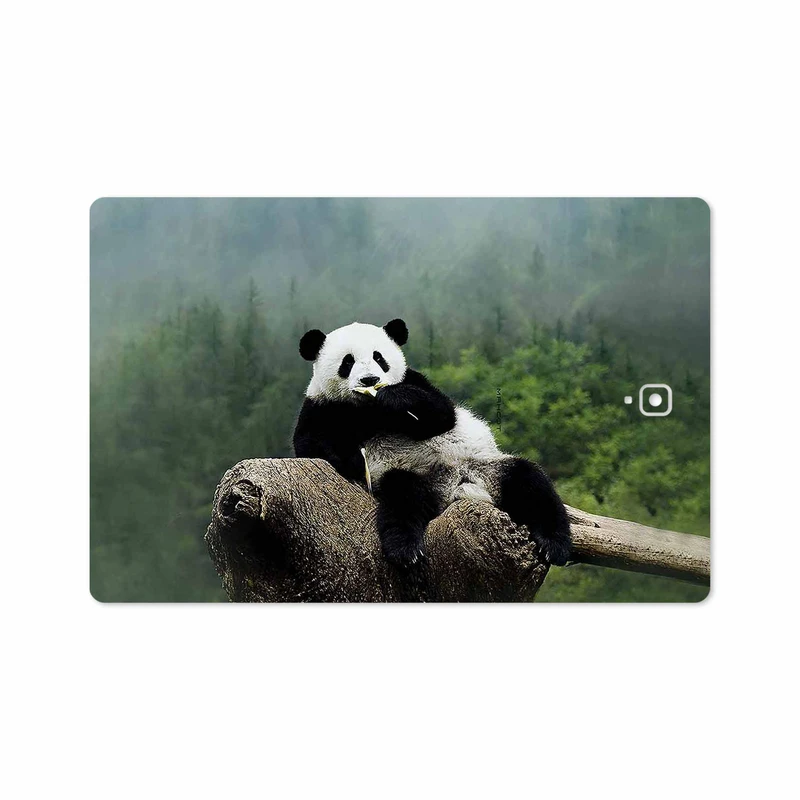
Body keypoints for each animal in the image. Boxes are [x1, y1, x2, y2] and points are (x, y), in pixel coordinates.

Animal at [293, 318, 572, 568]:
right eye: (348, 362)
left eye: (379, 358)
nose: (370, 380)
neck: (368, 409)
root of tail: (457, 487)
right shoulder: (322, 407)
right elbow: (310, 445)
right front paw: (351, 459)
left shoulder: (415, 381)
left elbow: (442, 413)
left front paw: (393, 398)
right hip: (412, 476)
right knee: (403, 498)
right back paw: (405, 550)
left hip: (487, 467)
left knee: (530, 482)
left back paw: (554, 544)